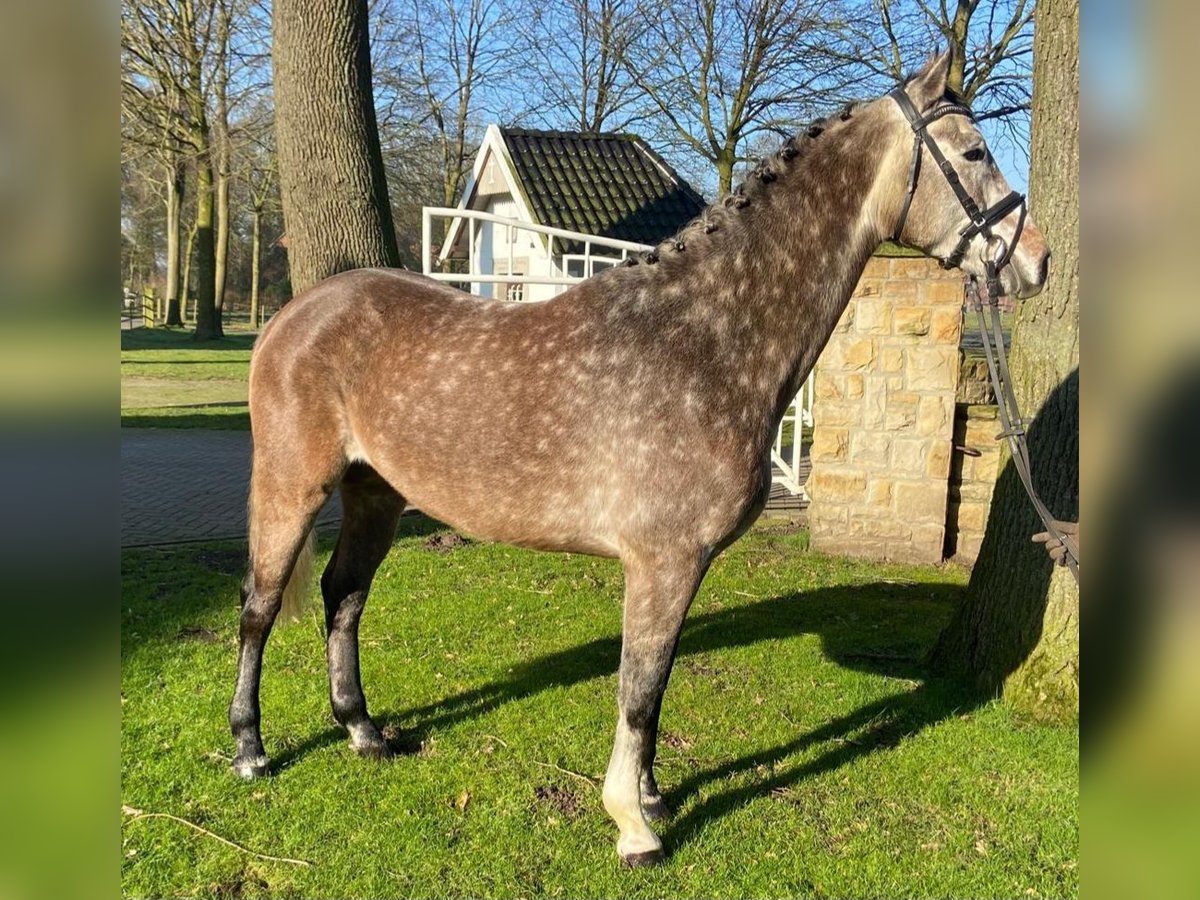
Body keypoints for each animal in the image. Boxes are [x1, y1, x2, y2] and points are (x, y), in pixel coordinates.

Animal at [229, 54, 1046, 868]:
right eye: (976, 151)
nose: (1034, 259)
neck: (703, 339)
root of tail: (294, 315)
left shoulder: (680, 564)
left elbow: (657, 685)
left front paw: (651, 795)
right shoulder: (663, 559)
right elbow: (640, 688)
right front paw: (634, 826)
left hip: (376, 494)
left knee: (343, 597)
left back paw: (363, 731)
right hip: (292, 487)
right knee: (261, 607)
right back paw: (250, 749)